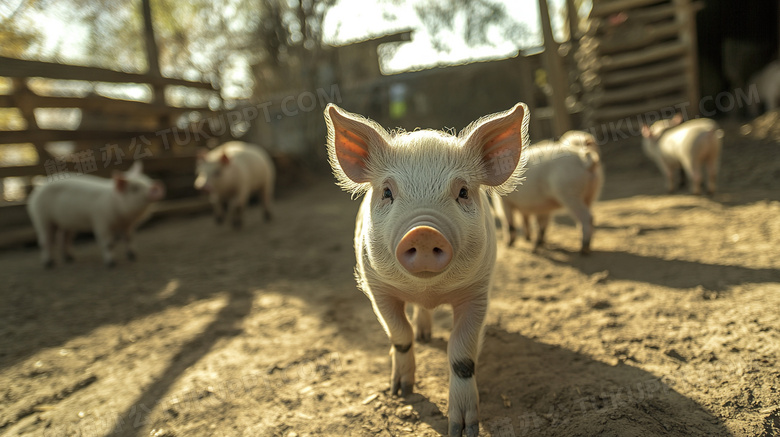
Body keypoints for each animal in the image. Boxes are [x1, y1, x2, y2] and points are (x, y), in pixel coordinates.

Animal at [27, 160, 166, 266]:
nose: (156, 185)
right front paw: (112, 264)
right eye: (135, 189)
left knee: (63, 238)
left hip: (67, 223)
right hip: (42, 218)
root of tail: (35, 193)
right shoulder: (101, 222)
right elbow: (108, 244)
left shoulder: (127, 225)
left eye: (147, 180)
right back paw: (49, 264)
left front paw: (133, 256)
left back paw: (70, 258)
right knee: (46, 241)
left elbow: (129, 238)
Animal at [322, 101, 532, 432]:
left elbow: (462, 356)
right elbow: (399, 334)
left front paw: (463, 429)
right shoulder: (376, 287)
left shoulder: (477, 292)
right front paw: (401, 392)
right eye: (387, 192)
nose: (423, 232)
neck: (427, 289)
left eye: (463, 192)